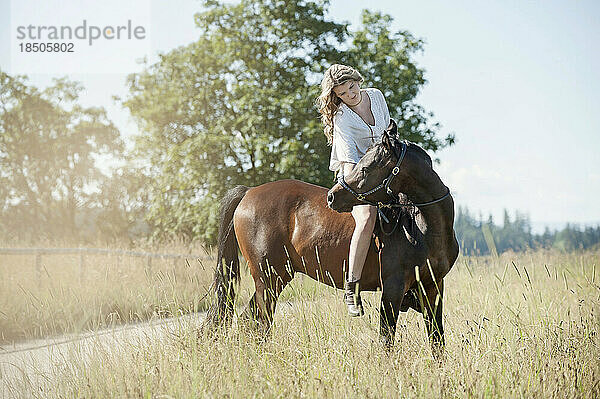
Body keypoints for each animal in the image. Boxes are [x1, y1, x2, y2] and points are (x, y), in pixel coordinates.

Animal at [204, 125, 458, 354]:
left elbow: (437, 339)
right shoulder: (392, 290)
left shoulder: (433, 287)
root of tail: (248, 192)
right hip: (267, 279)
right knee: (260, 321)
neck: (421, 225)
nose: (332, 197)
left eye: (366, 168)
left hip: (275, 278)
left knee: (250, 320)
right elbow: (387, 340)